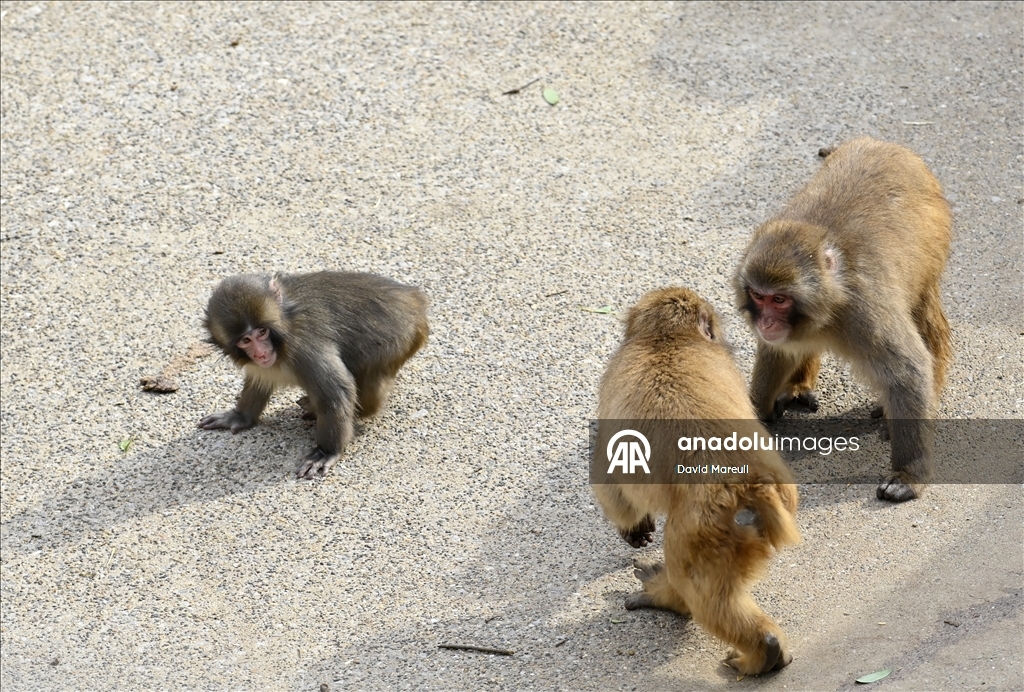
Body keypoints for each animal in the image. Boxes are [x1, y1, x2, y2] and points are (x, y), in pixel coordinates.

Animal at [198, 271, 428, 479]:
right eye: (245, 340)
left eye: (262, 332)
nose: (261, 353)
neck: (285, 323)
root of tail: (415, 299)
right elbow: (260, 381)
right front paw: (239, 416)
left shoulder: (304, 345)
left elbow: (337, 392)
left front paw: (327, 452)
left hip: (398, 341)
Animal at [593, 287, 801, 675]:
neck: (666, 338)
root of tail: (750, 484)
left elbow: (612, 480)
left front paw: (632, 528)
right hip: (774, 505)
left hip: (699, 528)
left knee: (699, 591)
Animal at [734, 137, 953, 503]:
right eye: (758, 296)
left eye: (779, 299)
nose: (766, 323)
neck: (831, 303)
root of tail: (883, 144)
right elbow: (778, 351)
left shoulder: (866, 313)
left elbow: (908, 369)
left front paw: (909, 475)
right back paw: (798, 386)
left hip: (934, 243)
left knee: (922, 314)